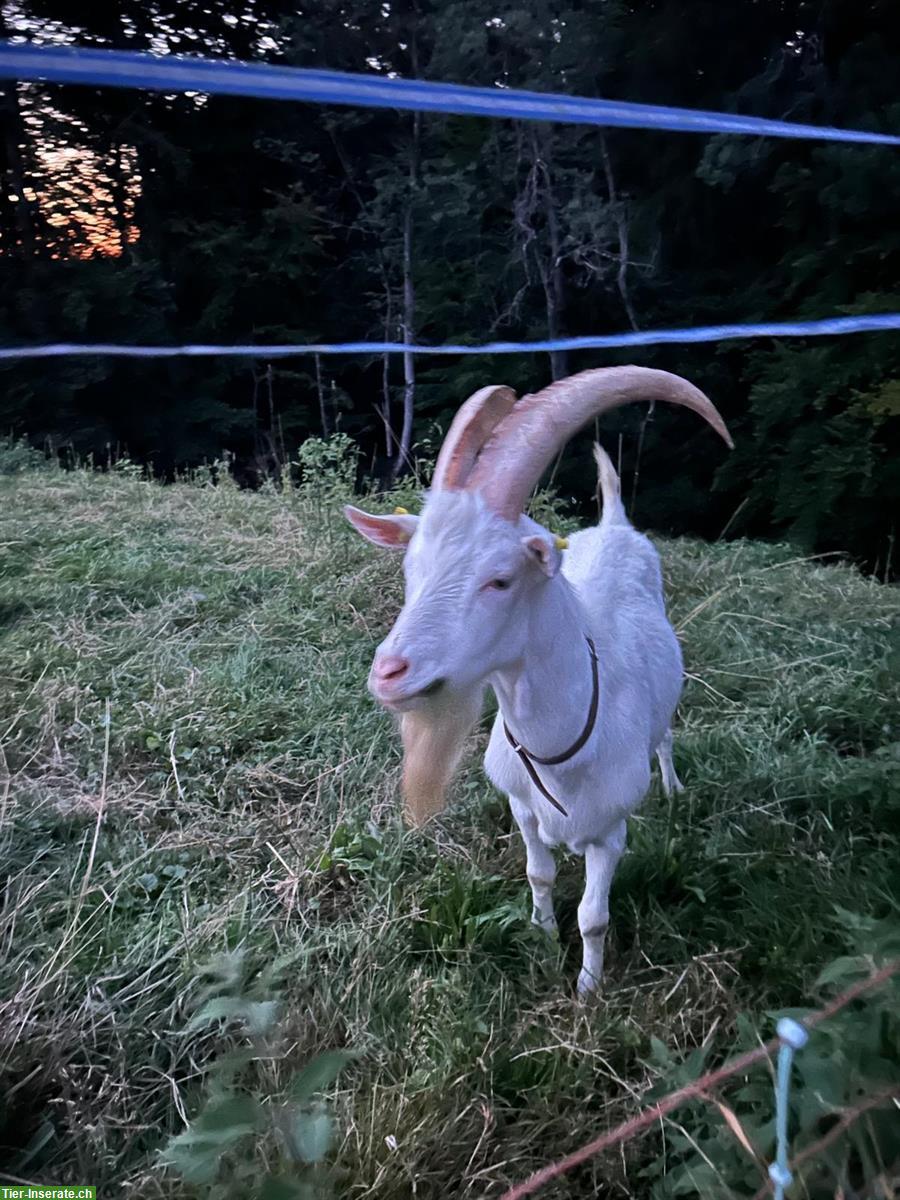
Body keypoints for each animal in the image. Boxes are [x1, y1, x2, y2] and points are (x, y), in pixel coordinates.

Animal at [345, 364, 734, 993]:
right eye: (411, 568)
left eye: (500, 579)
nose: (389, 673)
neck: (562, 746)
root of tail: (614, 521)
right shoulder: (522, 808)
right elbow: (539, 874)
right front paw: (544, 940)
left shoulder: (610, 831)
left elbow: (595, 916)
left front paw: (588, 990)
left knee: (667, 734)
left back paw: (674, 788)